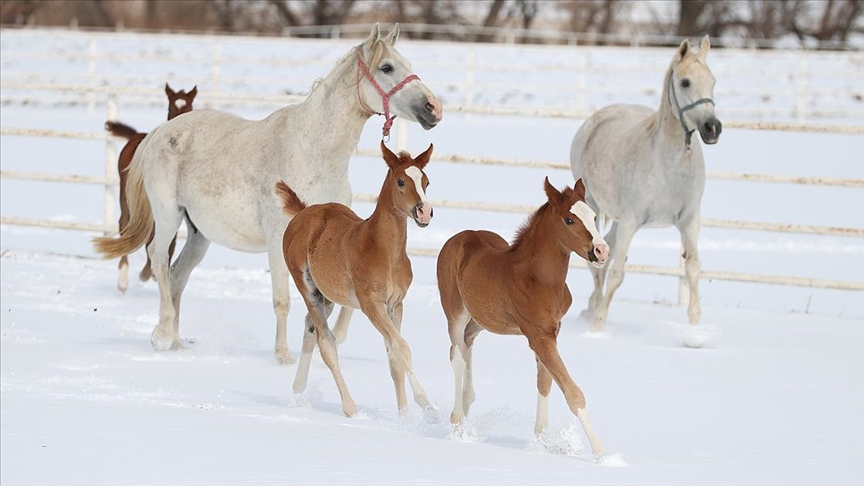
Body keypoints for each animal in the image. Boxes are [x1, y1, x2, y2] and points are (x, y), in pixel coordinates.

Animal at [105, 83, 198, 292]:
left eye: (190, 107)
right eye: (170, 108)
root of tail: (136, 136)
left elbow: (169, 241)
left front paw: (154, 273)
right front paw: (147, 273)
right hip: (127, 199)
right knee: (125, 225)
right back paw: (123, 280)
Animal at [276, 140, 436, 418]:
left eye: (426, 182)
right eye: (401, 181)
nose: (424, 212)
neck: (384, 250)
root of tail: (303, 212)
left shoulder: (396, 304)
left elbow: (394, 356)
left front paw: (404, 415)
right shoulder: (371, 304)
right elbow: (401, 347)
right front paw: (427, 407)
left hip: (328, 295)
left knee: (310, 327)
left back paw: (298, 390)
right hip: (308, 289)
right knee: (326, 342)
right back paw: (349, 407)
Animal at [438, 176, 616, 460]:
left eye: (594, 216)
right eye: (569, 220)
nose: (601, 251)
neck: (541, 279)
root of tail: (459, 237)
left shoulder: (551, 332)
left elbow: (545, 382)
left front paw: (543, 441)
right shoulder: (538, 335)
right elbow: (571, 390)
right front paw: (600, 452)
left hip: (479, 321)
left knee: (467, 347)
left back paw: (467, 404)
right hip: (455, 312)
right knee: (456, 354)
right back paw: (457, 422)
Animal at [572, 36, 720, 334]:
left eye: (713, 81)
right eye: (685, 82)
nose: (713, 128)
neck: (667, 166)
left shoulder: (689, 220)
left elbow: (693, 267)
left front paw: (695, 325)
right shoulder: (631, 220)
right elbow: (617, 273)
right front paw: (598, 327)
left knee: (606, 250)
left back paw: (591, 306)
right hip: (593, 206)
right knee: (598, 264)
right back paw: (593, 312)